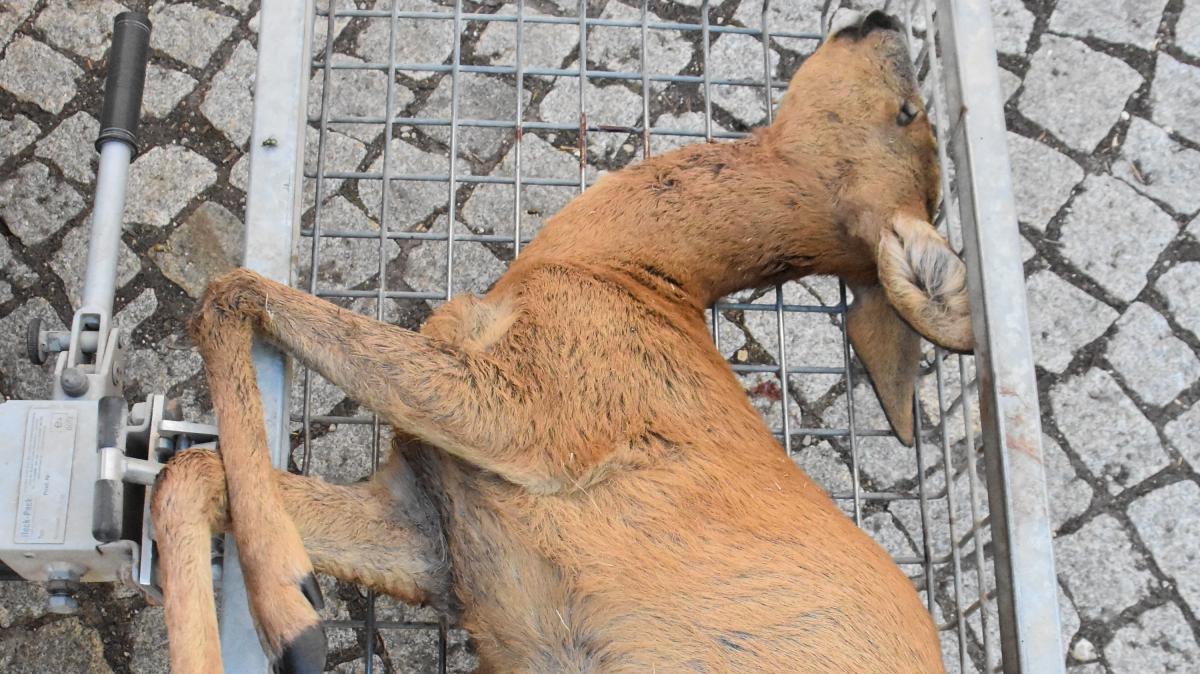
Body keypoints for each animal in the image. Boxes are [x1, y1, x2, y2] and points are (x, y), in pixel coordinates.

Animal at [151, 9, 972, 673]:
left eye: (910, 110)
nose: (885, 19)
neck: (619, 269)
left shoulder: (539, 409)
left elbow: (228, 293)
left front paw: (292, 619)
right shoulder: (436, 533)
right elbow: (188, 471)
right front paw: (293, 599)